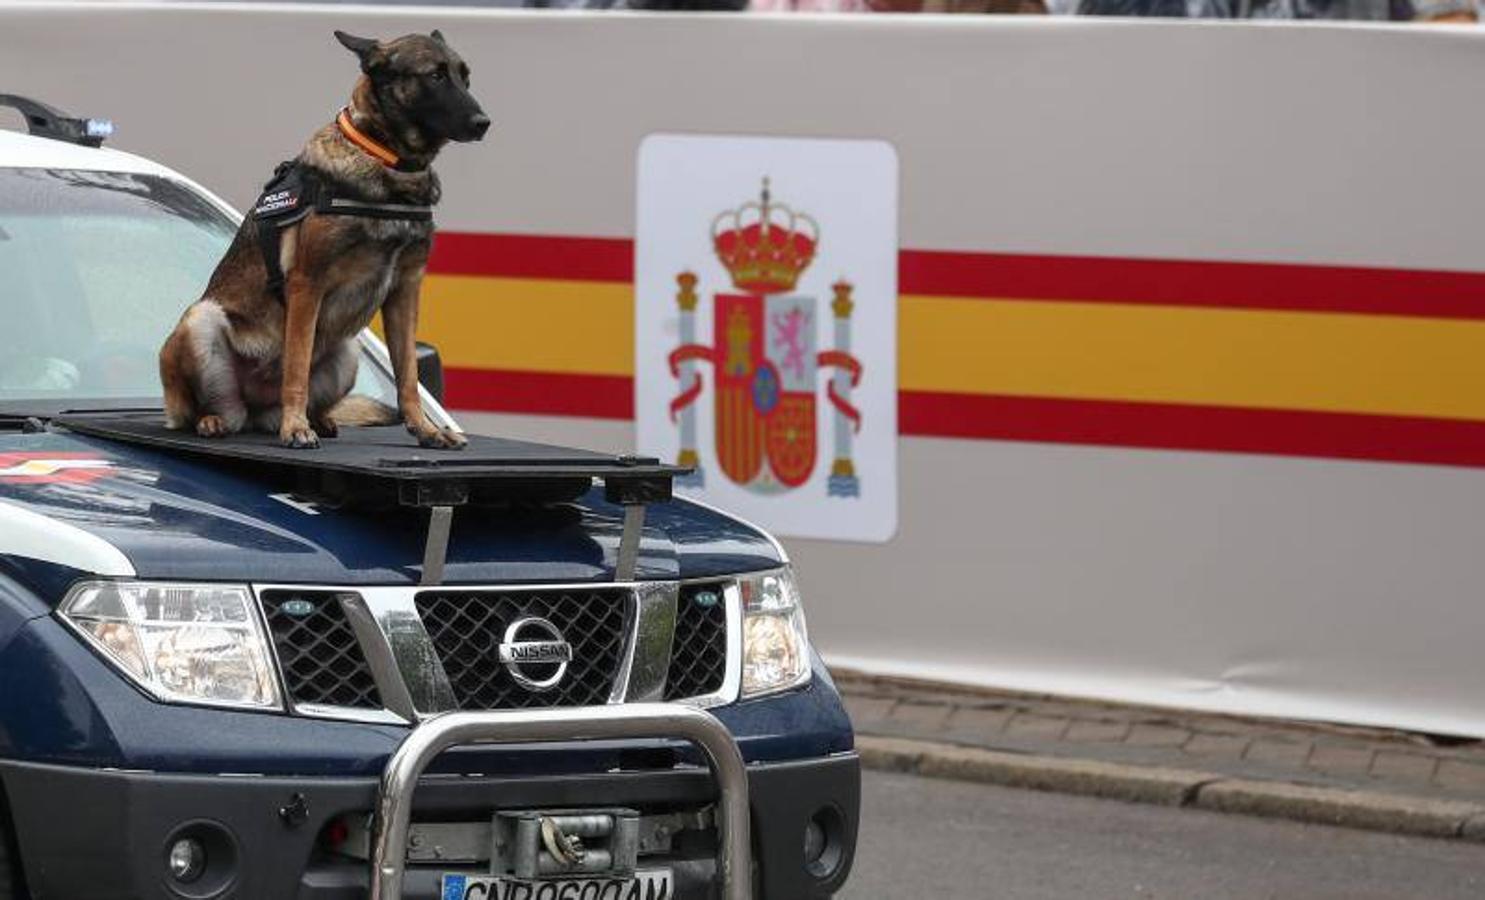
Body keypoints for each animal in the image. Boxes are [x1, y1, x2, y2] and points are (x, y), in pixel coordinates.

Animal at [160, 29, 490, 451]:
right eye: (435, 76)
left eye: (466, 78)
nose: (484, 122)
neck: (387, 162)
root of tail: (252, 411)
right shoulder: (308, 284)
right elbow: (296, 368)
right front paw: (295, 427)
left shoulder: (405, 290)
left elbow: (408, 376)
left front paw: (426, 429)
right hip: (199, 319)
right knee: (199, 410)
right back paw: (217, 420)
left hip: (348, 350)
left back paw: (321, 420)